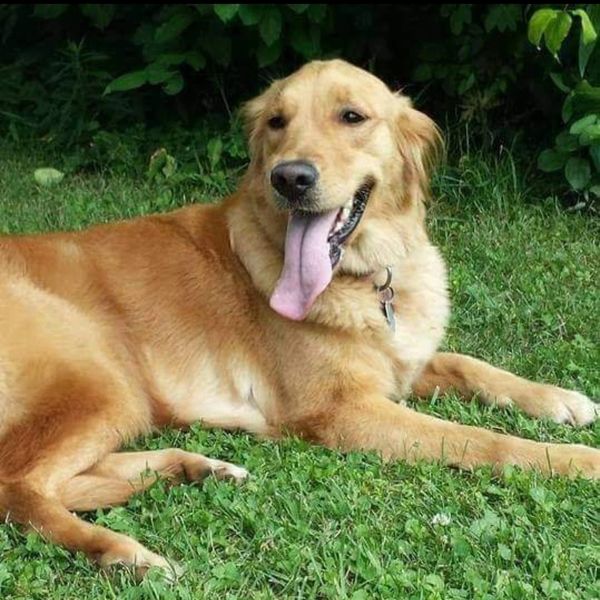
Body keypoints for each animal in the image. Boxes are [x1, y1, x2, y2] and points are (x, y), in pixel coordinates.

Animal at [0, 59, 598, 577]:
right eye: (276, 122)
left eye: (351, 116)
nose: (289, 178)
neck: (366, 278)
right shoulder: (342, 410)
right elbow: (479, 440)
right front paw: (576, 460)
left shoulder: (398, 363)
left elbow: (470, 364)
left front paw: (560, 400)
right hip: (104, 382)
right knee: (20, 487)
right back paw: (124, 552)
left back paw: (197, 468)